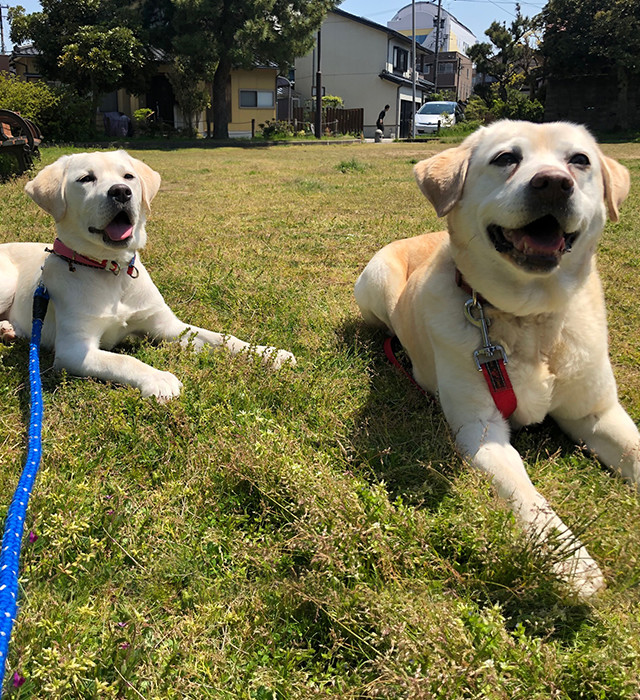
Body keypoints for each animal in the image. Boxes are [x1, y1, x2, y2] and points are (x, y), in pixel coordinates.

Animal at [0, 149, 296, 400]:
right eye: (86, 178)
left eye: (128, 176)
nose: (121, 192)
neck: (113, 272)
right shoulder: (74, 349)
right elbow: (124, 360)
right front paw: (159, 379)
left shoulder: (168, 326)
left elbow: (223, 338)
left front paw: (269, 353)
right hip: (7, 282)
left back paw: (9, 330)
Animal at [356, 119, 636, 596]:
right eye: (506, 158)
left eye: (579, 160)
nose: (553, 183)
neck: (529, 317)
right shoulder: (481, 429)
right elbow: (525, 492)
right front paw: (571, 562)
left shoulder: (597, 412)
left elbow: (633, 448)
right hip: (375, 286)